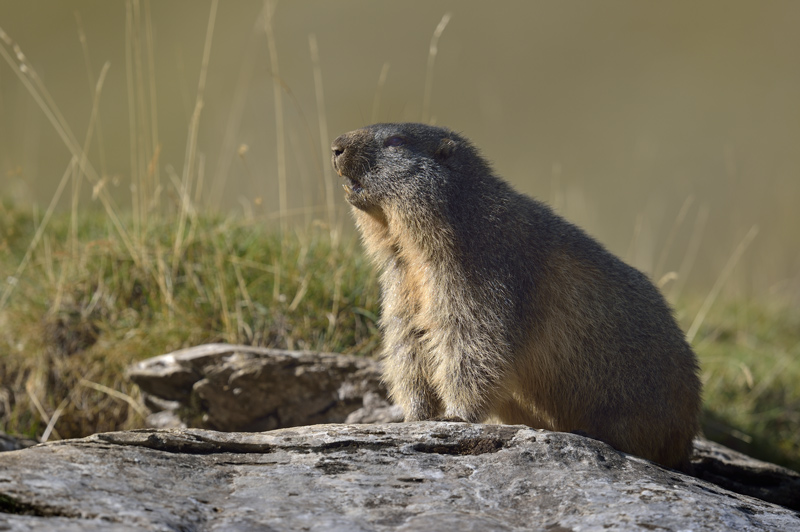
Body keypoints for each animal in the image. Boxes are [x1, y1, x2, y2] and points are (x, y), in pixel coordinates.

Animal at [331, 123, 701, 470]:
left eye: (396, 142)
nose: (335, 145)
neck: (411, 251)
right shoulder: (400, 285)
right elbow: (407, 343)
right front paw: (414, 416)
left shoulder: (482, 271)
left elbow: (473, 340)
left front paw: (454, 415)